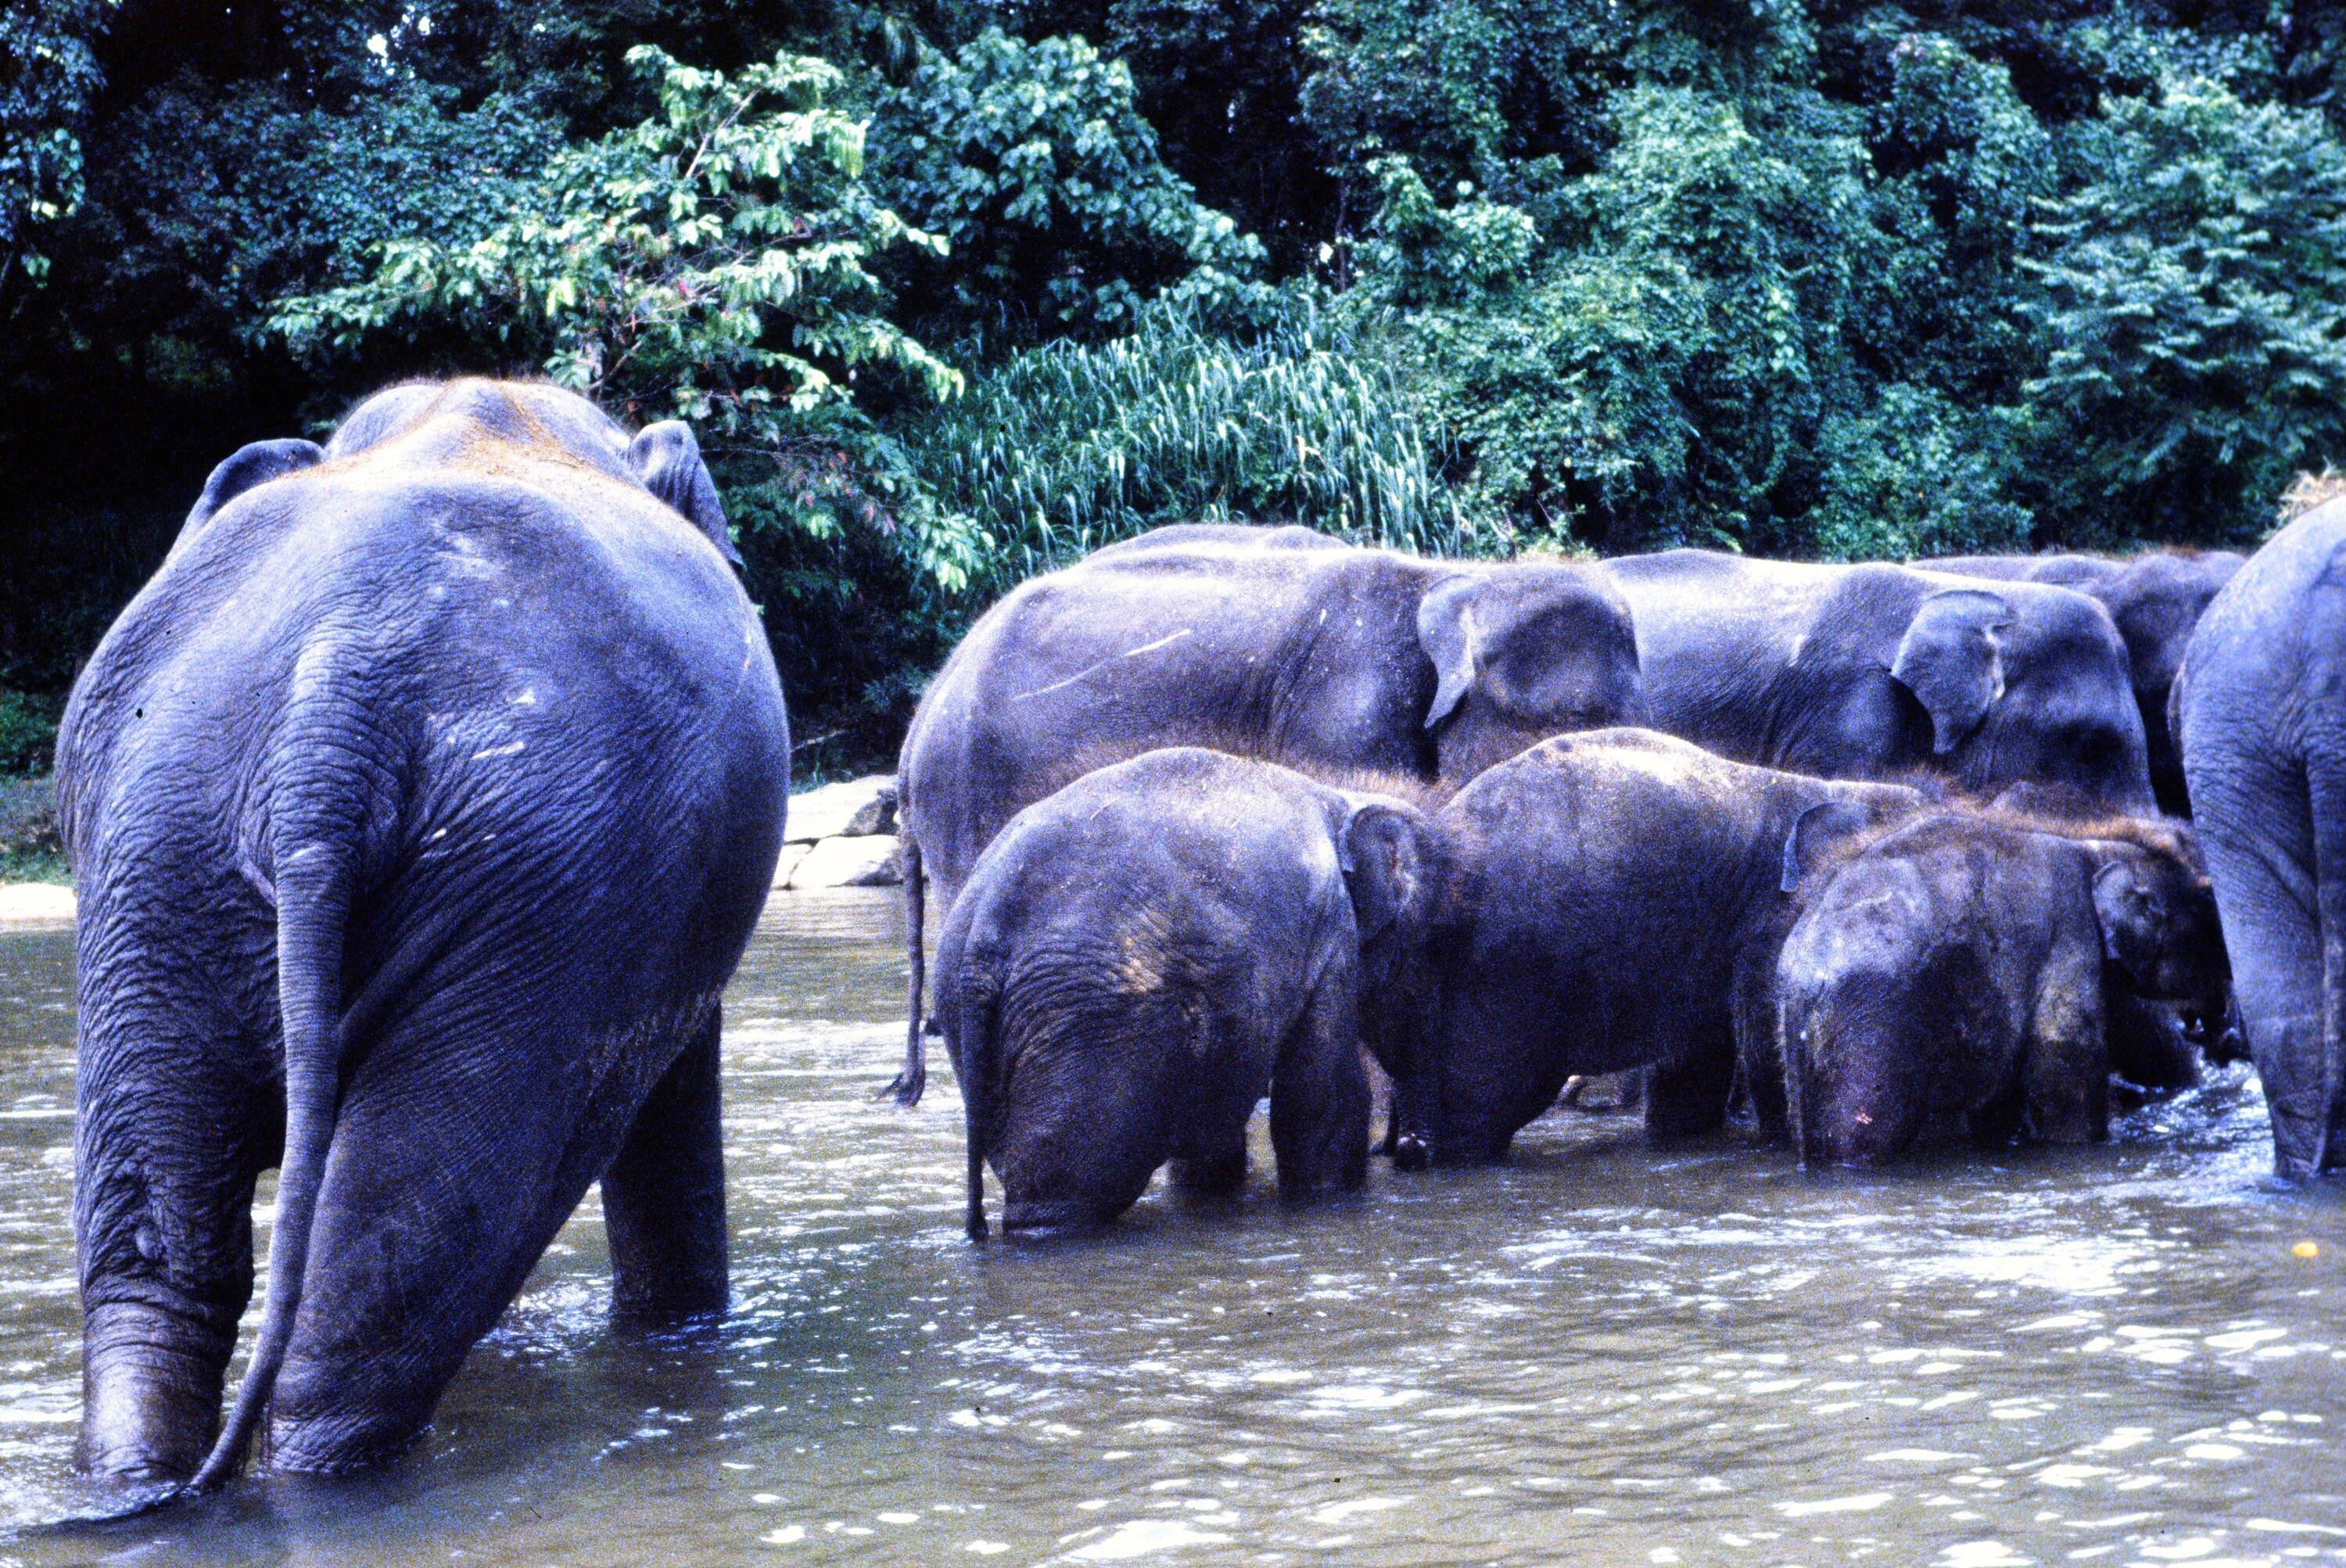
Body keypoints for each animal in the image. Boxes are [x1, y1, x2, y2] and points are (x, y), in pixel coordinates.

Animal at [890, 523, 1647, 1104]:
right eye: (1577, 721)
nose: (1590, 1097)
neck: (1456, 579)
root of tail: (924, 708)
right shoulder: (1338, 717)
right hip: (963, 794)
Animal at [934, 748, 1448, 1237]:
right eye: (1430, 946)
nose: (1409, 1151)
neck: (1337, 795)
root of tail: (982, 935)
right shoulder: (1328, 929)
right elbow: (1321, 1097)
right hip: (1081, 1031)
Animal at [1420, 728, 1923, 1165]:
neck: (1848, 791)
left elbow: (1694, 1065)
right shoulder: (1769, 923)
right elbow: (1766, 1052)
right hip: (1506, 970)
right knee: (1482, 1096)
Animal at [1768, 809, 2227, 1167]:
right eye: (2209, 915)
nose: (2214, 1028)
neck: (2095, 846)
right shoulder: (2071, 940)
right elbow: (2064, 1060)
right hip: (1870, 1035)